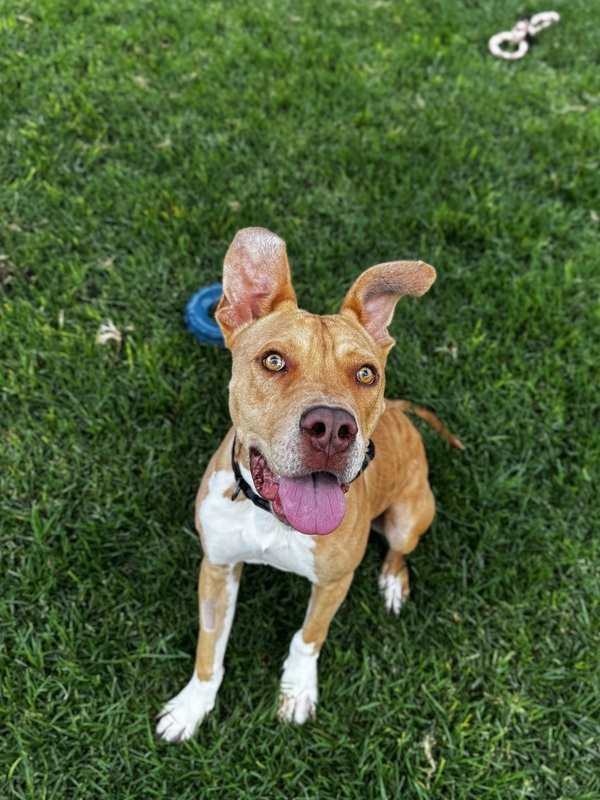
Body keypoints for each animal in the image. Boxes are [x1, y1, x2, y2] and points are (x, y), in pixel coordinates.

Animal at [157, 227, 462, 742]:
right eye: (273, 361)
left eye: (366, 373)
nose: (333, 428)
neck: (271, 518)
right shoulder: (217, 568)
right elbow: (209, 649)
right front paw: (191, 708)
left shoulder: (334, 582)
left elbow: (307, 638)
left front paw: (297, 691)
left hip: (408, 517)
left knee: (399, 550)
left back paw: (392, 583)